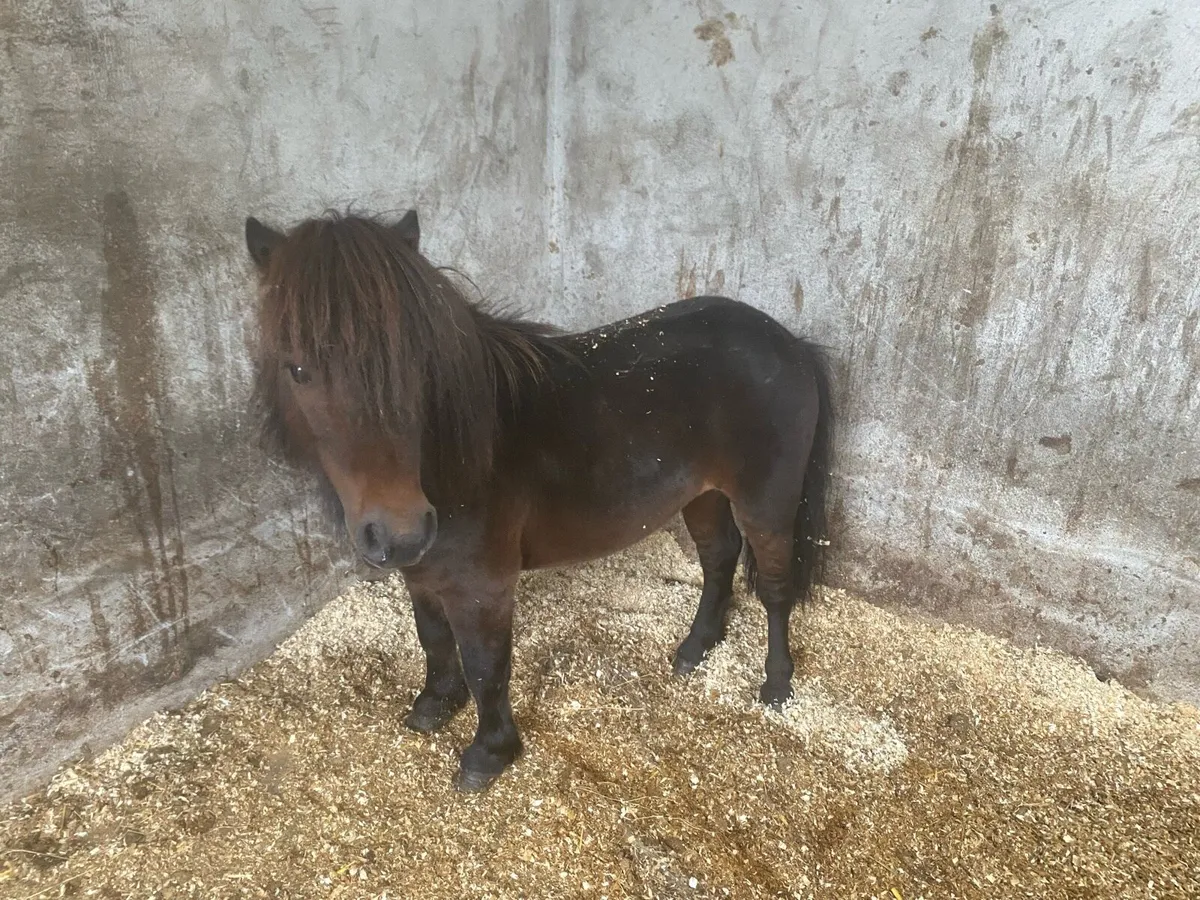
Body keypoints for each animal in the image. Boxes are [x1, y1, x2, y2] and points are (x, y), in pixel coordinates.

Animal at [243, 208, 836, 792]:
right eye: (299, 369)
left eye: (415, 365)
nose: (400, 531)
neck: (465, 454)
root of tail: (788, 341)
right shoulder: (424, 575)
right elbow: (433, 640)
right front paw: (434, 705)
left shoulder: (483, 587)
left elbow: (487, 667)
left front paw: (489, 753)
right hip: (704, 495)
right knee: (718, 558)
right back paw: (696, 647)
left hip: (766, 503)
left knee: (774, 589)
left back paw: (776, 685)